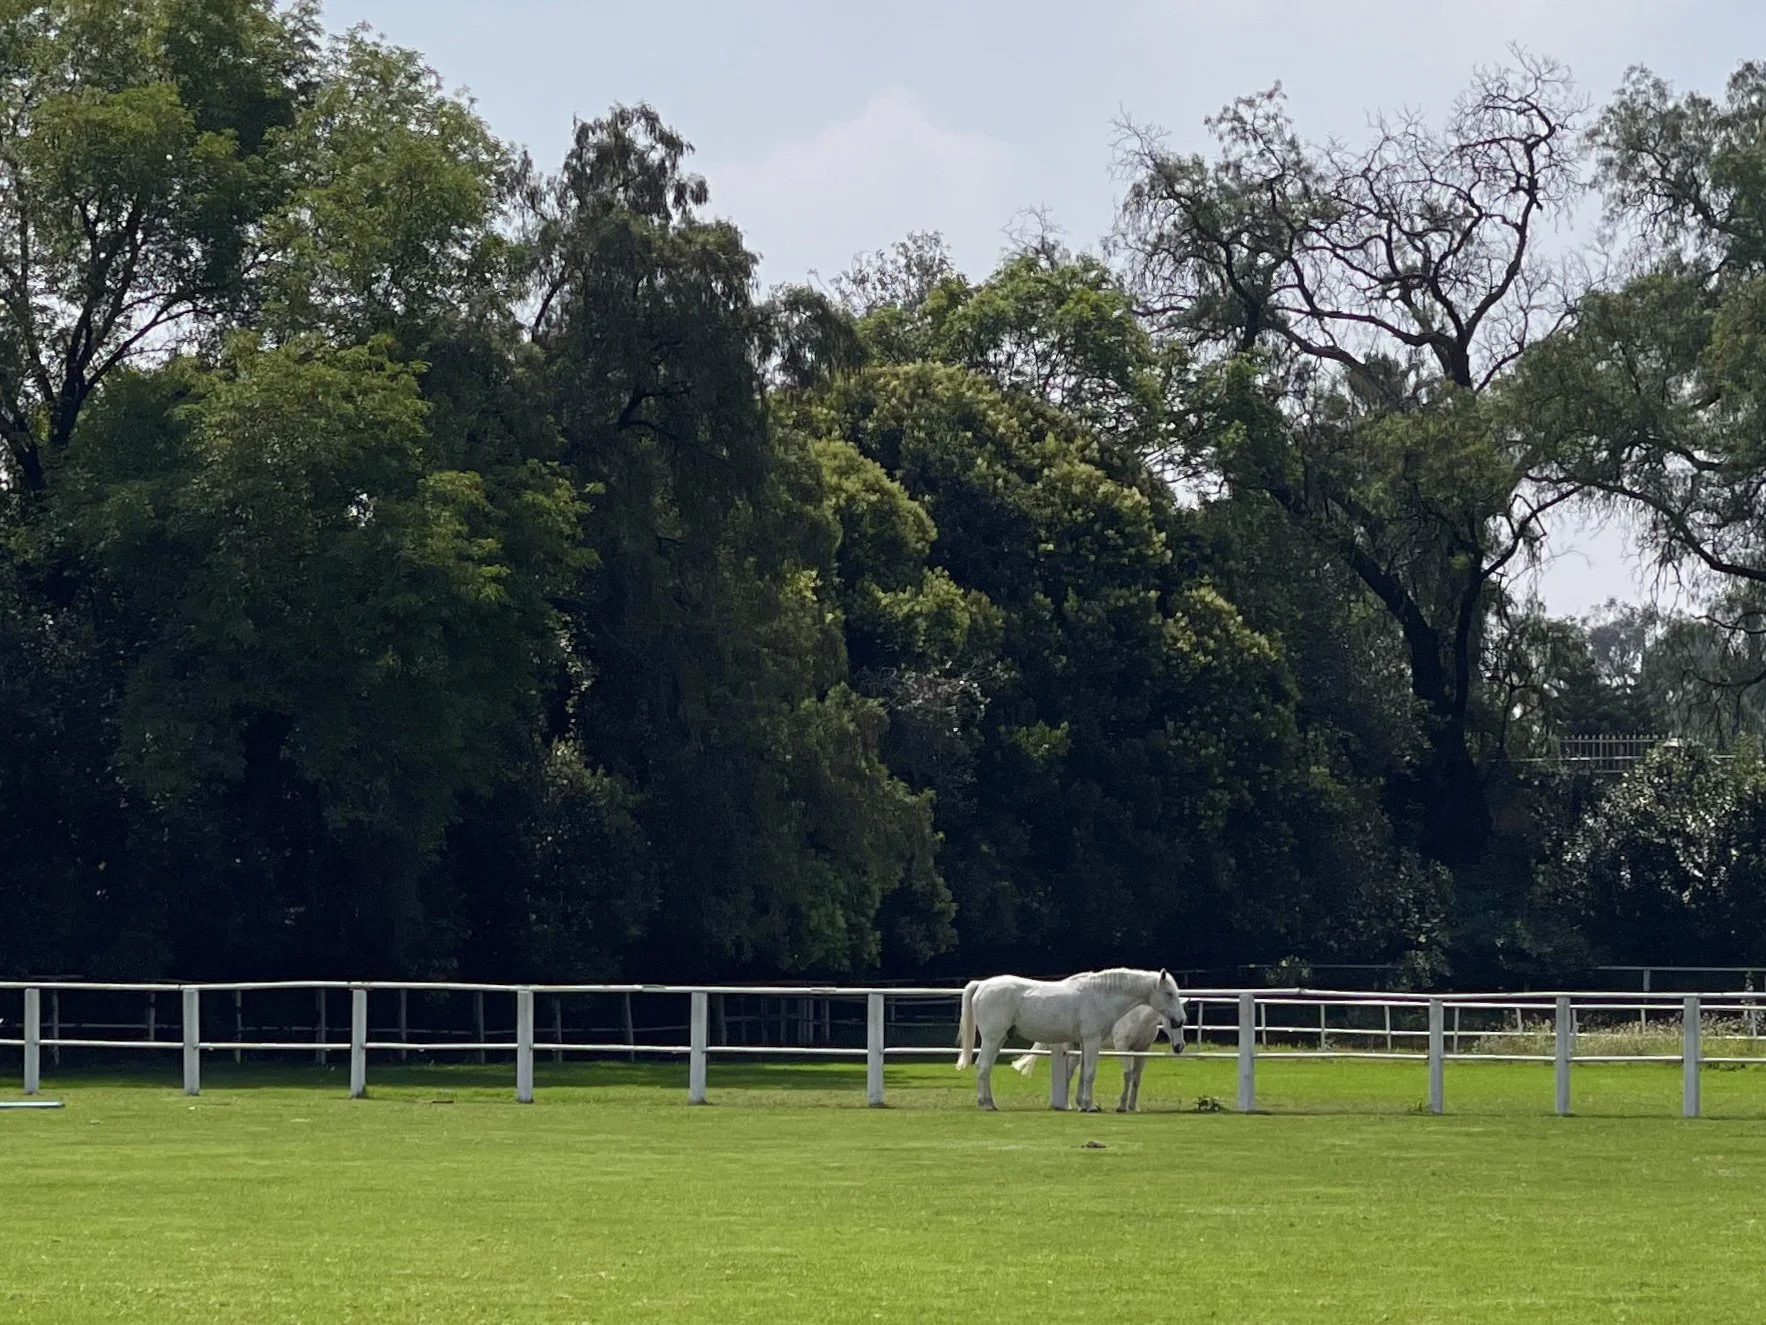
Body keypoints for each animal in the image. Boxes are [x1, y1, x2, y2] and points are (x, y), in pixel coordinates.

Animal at [1008, 1002, 1184, 1112]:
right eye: (1173, 1022)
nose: (1179, 1047)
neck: (1138, 1016)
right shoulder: (1122, 1048)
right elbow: (1127, 1075)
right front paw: (1121, 1106)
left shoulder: (1142, 1050)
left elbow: (1136, 1078)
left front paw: (1133, 1107)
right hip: (1069, 1047)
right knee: (1067, 1074)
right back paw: (1066, 1105)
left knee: (1071, 1073)